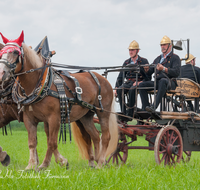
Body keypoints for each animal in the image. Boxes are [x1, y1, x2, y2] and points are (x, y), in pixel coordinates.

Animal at [0, 31, 119, 170]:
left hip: (102, 112)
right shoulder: (29, 119)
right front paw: (31, 166)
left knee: (105, 136)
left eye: (15, 52)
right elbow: (32, 142)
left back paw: (100, 163)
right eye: (1, 52)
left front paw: (46, 164)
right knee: (94, 136)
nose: (1, 73)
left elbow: (51, 142)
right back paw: (95, 160)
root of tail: (102, 79)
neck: (40, 83)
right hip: (85, 115)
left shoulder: (54, 118)